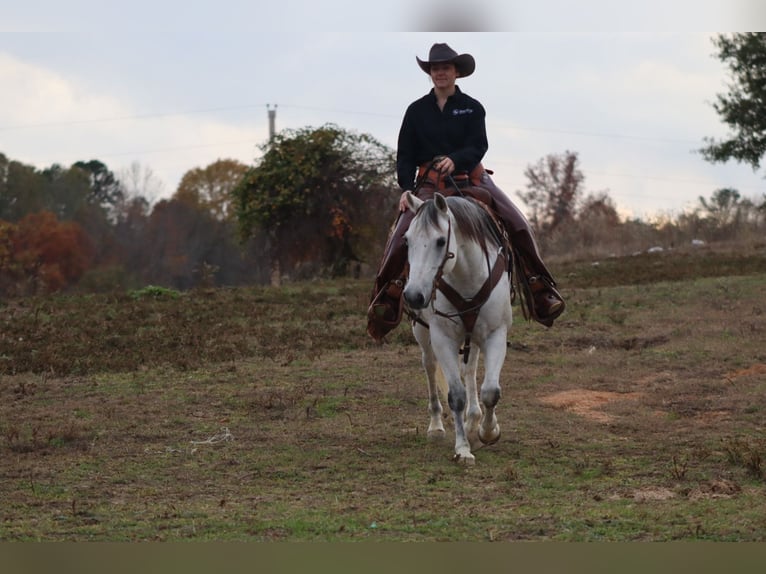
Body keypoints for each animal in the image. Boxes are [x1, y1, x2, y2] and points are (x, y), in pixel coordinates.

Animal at [402, 191, 516, 466]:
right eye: (407, 240)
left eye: (441, 241)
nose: (413, 296)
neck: (467, 277)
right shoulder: (442, 338)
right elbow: (456, 395)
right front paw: (463, 449)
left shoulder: (496, 334)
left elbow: (490, 391)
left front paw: (488, 431)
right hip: (422, 332)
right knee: (430, 366)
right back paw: (436, 426)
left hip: (473, 337)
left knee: (470, 370)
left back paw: (474, 419)